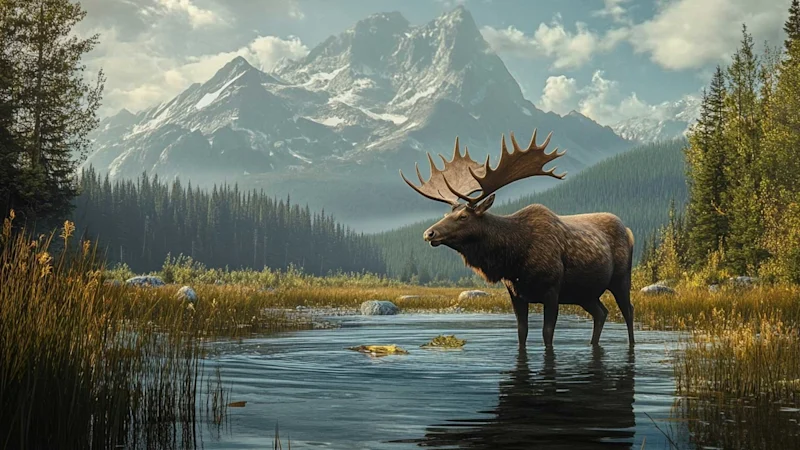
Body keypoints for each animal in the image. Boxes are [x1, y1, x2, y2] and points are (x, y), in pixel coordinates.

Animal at [399, 130, 635, 349]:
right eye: (446, 214)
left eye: (463, 216)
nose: (429, 233)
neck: (515, 258)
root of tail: (629, 231)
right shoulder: (515, 292)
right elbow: (522, 333)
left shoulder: (552, 289)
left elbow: (547, 334)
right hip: (584, 293)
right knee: (601, 313)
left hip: (620, 278)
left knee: (628, 311)